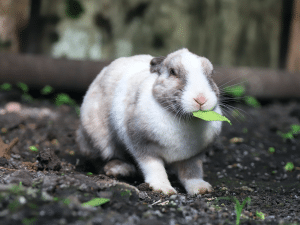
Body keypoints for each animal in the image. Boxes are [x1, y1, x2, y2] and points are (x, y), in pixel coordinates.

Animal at [77, 48, 223, 195]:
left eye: (211, 74)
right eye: (173, 72)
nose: (201, 99)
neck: (182, 117)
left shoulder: (192, 156)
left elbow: (192, 172)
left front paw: (201, 188)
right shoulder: (143, 147)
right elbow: (154, 168)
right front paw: (163, 188)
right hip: (98, 137)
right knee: (100, 158)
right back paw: (121, 169)